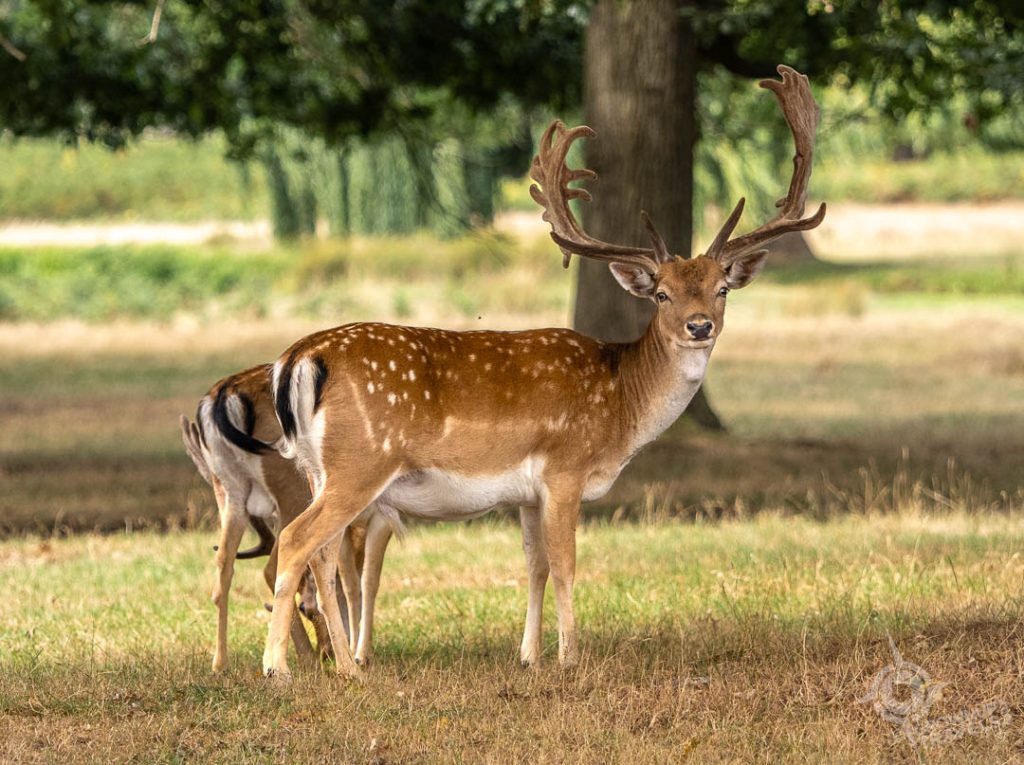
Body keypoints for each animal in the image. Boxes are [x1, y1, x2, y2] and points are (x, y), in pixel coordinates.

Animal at [260, 64, 826, 680]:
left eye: (721, 289)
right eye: (662, 294)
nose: (699, 326)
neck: (620, 404)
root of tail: (299, 358)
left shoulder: (527, 494)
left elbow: (533, 566)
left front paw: (529, 655)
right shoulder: (564, 468)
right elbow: (566, 565)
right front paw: (570, 657)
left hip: (317, 469)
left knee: (321, 553)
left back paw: (346, 666)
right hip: (360, 462)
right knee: (295, 539)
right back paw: (278, 668)